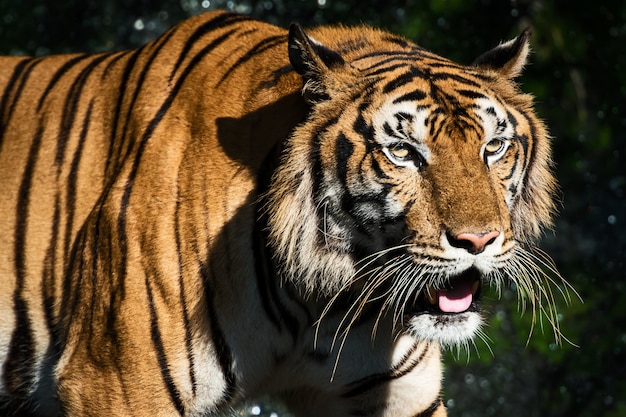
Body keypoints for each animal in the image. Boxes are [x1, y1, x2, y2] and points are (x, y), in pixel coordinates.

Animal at [0, 8, 564, 416]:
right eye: (403, 152)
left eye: (493, 147)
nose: (478, 241)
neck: (321, 298)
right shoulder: (116, 382)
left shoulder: (398, 396)